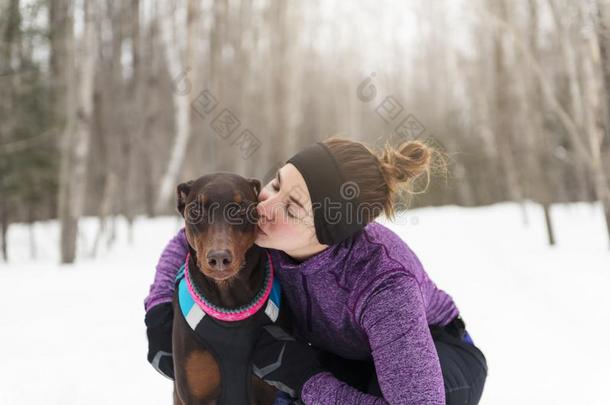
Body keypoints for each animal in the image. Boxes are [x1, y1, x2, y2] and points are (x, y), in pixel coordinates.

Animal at [170, 174, 290, 404]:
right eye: (196, 210)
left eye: (240, 210)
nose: (219, 258)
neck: (228, 308)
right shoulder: (195, 393)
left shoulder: (268, 391)